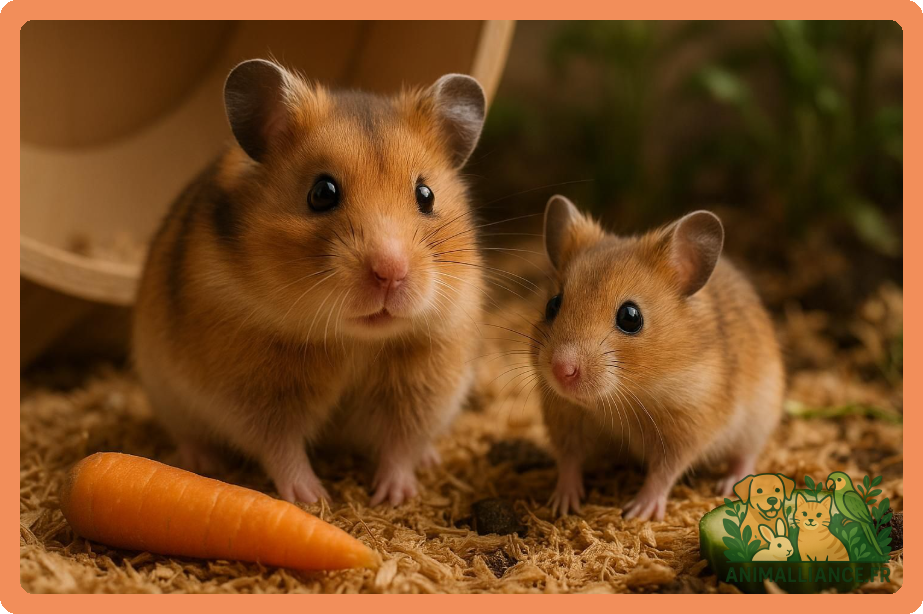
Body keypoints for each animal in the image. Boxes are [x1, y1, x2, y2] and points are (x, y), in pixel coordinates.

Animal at [133, 59, 487, 506]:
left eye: (426, 195)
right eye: (322, 193)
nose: (390, 272)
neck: (354, 340)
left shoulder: (425, 378)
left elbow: (400, 443)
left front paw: (394, 496)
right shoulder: (251, 388)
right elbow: (281, 446)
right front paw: (312, 498)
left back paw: (430, 459)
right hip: (167, 393)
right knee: (190, 434)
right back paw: (203, 461)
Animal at [533, 195, 784, 520]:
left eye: (630, 317)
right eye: (552, 304)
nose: (561, 370)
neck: (621, 400)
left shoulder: (687, 426)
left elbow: (663, 473)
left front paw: (638, 512)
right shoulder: (565, 417)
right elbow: (569, 461)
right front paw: (562, 504)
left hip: (759, 417)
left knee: (747, 456)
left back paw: (730, 485)